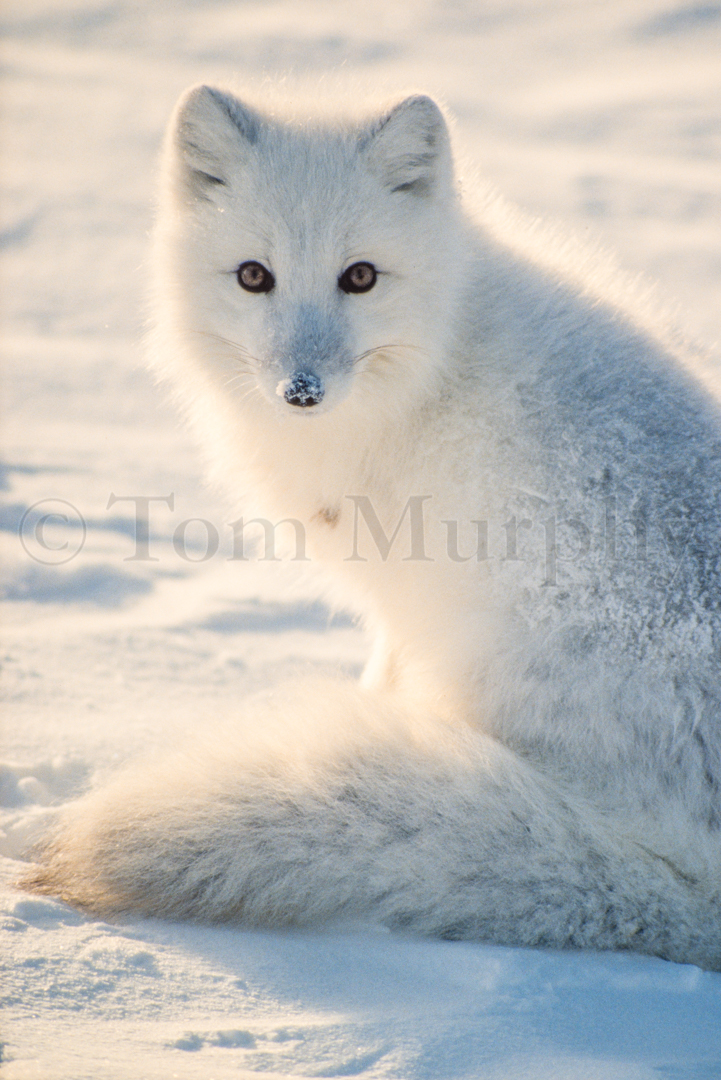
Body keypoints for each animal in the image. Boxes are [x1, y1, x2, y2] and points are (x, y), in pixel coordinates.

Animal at [26, 86, 721, 972]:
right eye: (253, 276)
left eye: (359, 277)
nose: (301, 390)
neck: (438, 359)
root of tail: (694, 889)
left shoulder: (400, 590)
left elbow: (378, 681)